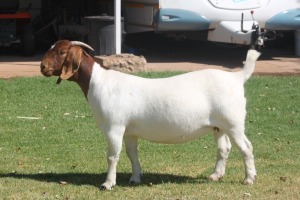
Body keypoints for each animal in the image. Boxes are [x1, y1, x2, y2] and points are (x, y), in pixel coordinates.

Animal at [39, 39, 260, 190]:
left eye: (61, 51)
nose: (42, 67)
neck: (98, 82)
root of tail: (237, 77)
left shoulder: (114, 128)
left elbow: (112, 156)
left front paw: (108, 184)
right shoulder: (129, 132)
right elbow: (131, 154)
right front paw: (135, 177)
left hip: (233, 122)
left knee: (246, 147)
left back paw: (249, 179)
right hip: (218, 125)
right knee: (224, 148)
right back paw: (215, 175)